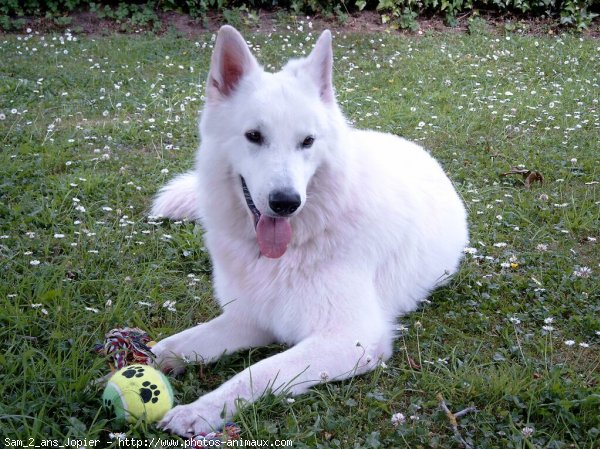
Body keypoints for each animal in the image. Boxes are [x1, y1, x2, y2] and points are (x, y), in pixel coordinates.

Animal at [150, 26, 468, 436]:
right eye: (254, 136)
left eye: (307, 141)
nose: (286, 202)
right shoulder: (251, 319)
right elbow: (179, 342)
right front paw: (136, 359)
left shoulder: (351, 338)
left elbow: (257, 371)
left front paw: (200, 409)